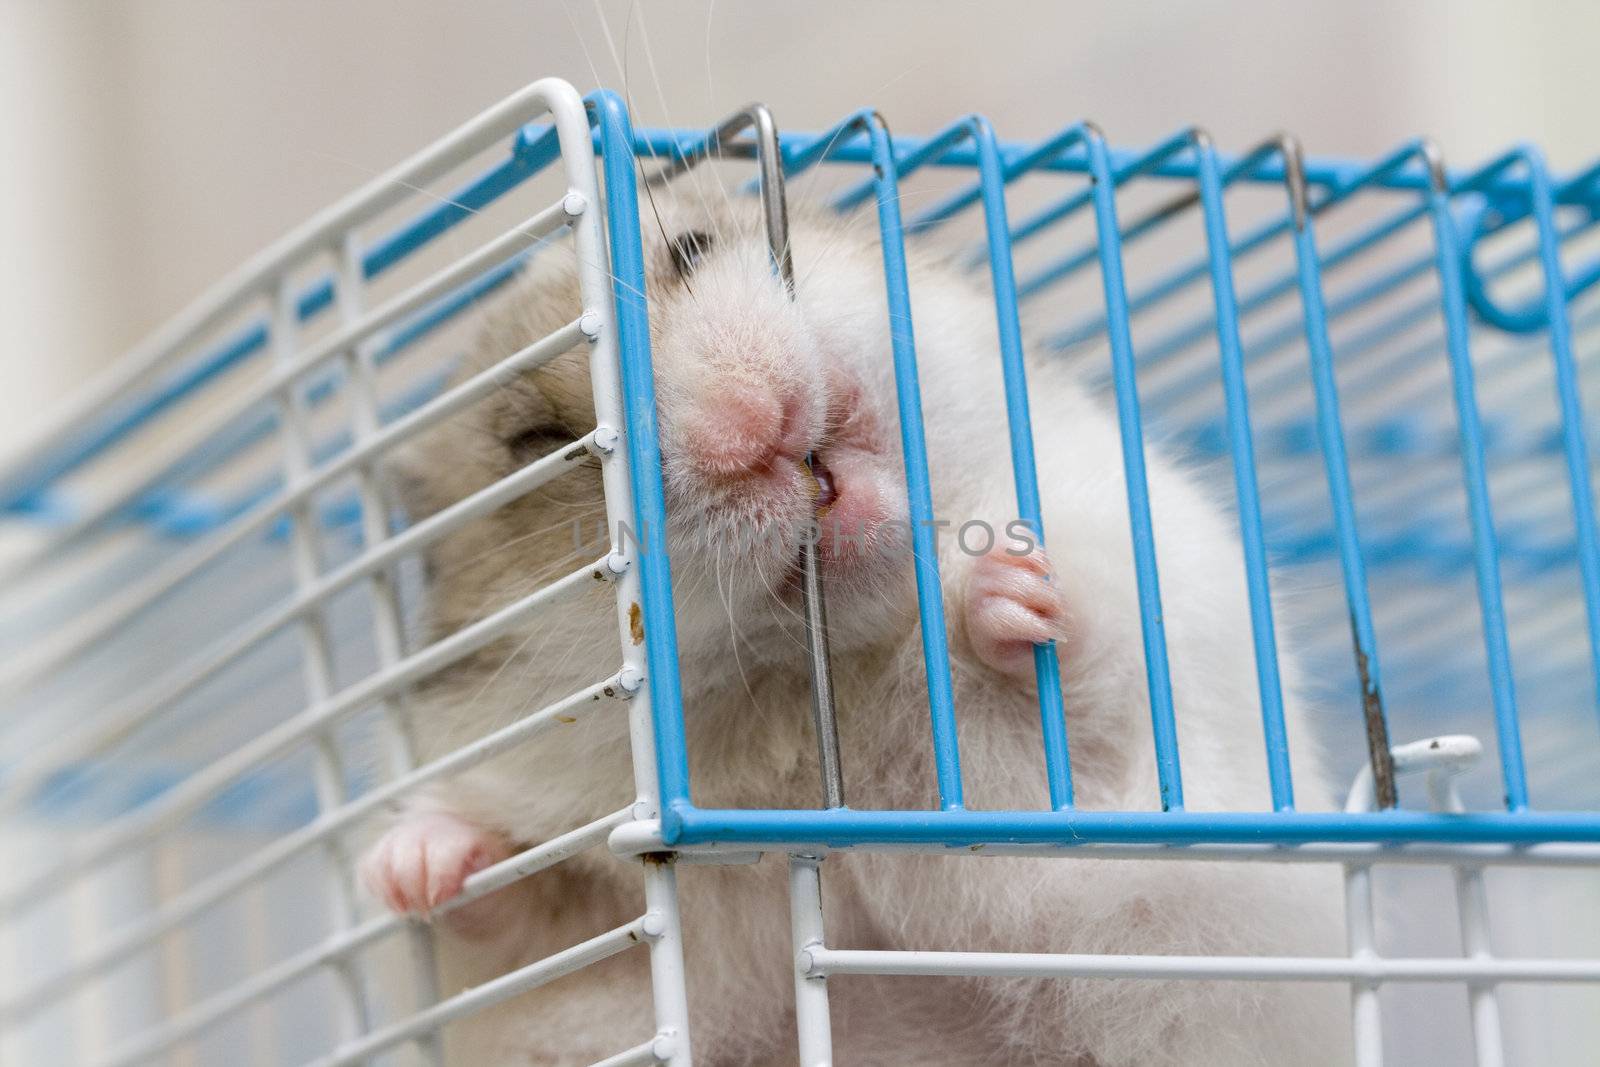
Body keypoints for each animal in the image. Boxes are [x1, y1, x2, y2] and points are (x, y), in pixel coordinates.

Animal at [360, 194, 1350, 1067]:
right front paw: (407, 867)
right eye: (539, 443)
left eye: (691, 247)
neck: (819, 700)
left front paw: (1005, 582)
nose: (742, 430)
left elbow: (1081, 689)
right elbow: (519, 900)